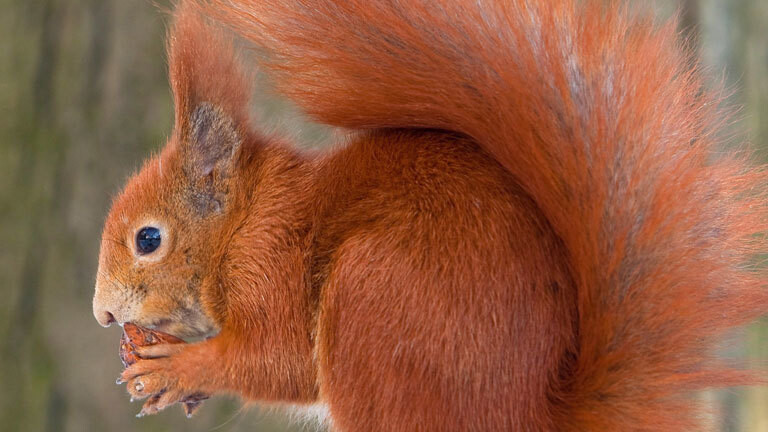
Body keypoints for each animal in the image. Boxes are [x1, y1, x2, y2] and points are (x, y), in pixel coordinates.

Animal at [92, 0, 768, 430]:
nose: (103, 315)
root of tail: (526, 414)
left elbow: (276, 360)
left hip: (372, 301)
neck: (243, 222)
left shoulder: (272, 263)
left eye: (148, 239)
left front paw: (182, 367)